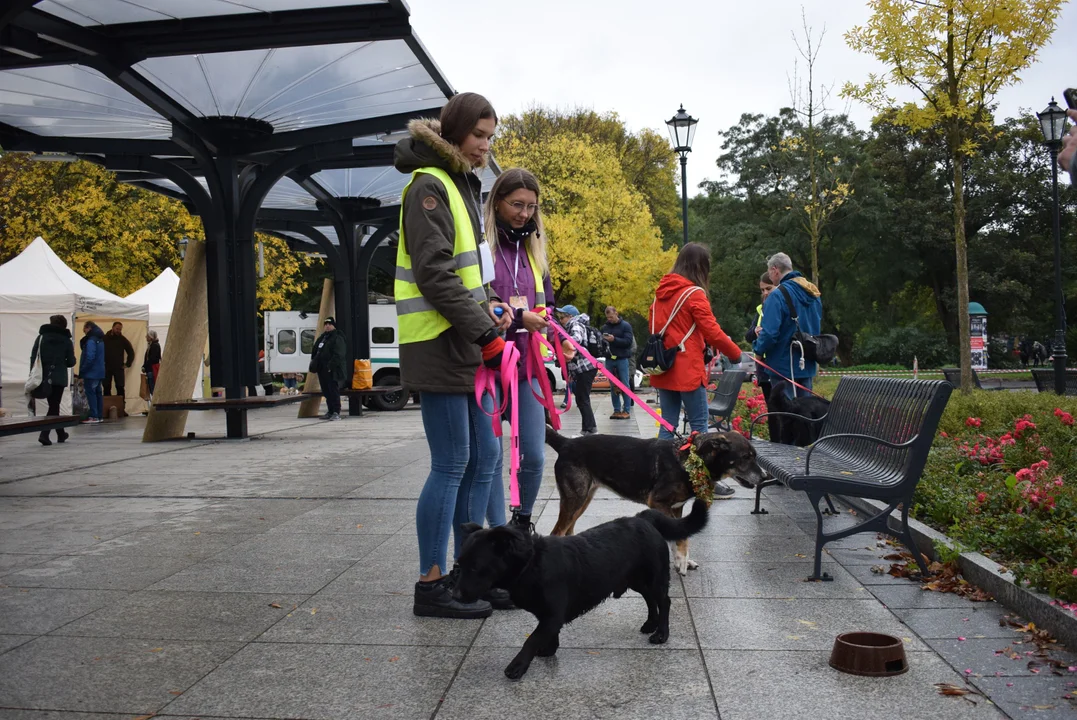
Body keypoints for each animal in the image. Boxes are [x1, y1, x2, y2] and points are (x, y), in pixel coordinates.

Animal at [452, 497, 710, 675]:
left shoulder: (552, 614)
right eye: (459, 565)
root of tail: (643, 517)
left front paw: (518, 665)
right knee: (650, 600)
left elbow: (531, 639)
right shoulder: (549, 616)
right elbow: (548, 634)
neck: (531, 563)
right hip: (635, 580)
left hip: (654, 578)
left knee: (663, 601)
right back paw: (650, 624)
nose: (455, 595)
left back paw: (662, 633)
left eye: (475, 568)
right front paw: (549, 650)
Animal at [542, 426, 762, 572]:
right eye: (745, 457)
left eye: (754, 455)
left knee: (568, 530)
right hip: (574, 499)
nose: (765, 476)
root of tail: (566, 442)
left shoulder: (676, 508)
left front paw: (681, 559)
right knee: (557, 532)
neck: (691, 460)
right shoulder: (657, 502)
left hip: (584, 499)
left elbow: (678, 534)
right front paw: (682, 561)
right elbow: (681, 535)